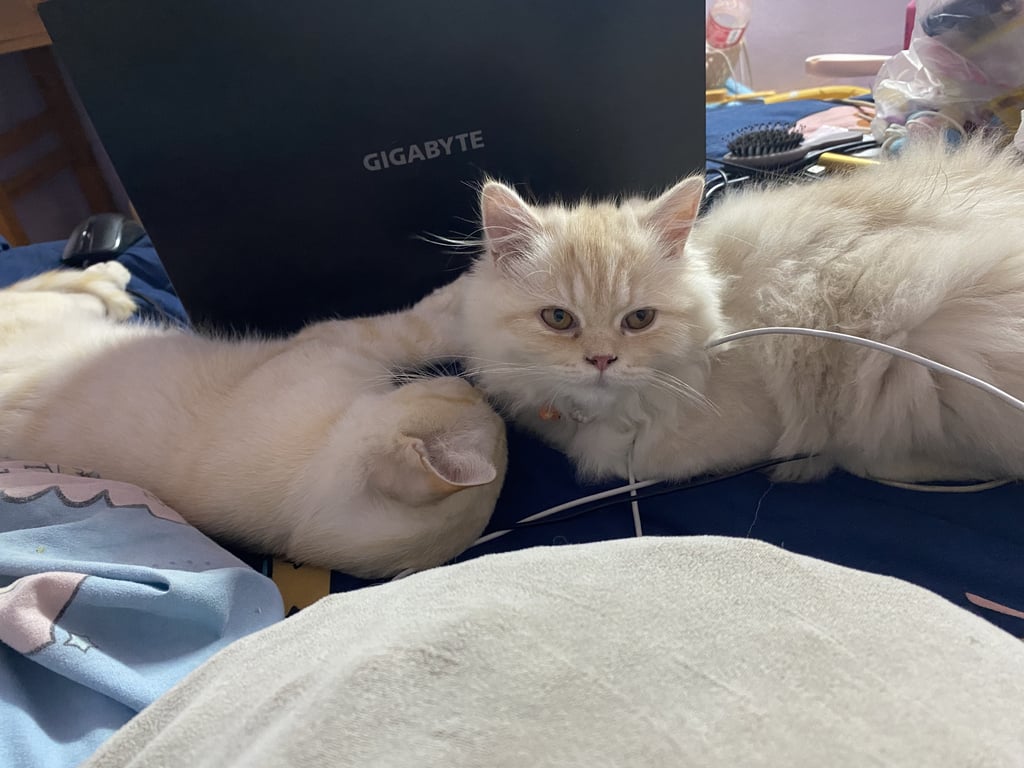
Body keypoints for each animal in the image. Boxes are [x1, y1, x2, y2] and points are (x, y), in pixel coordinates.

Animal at [0, 262, 506, 578]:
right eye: (472, 400)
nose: (481, 392)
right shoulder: (335, 339)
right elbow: (419, 329)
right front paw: (468, 293)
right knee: (51, 288)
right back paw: (111, 276)